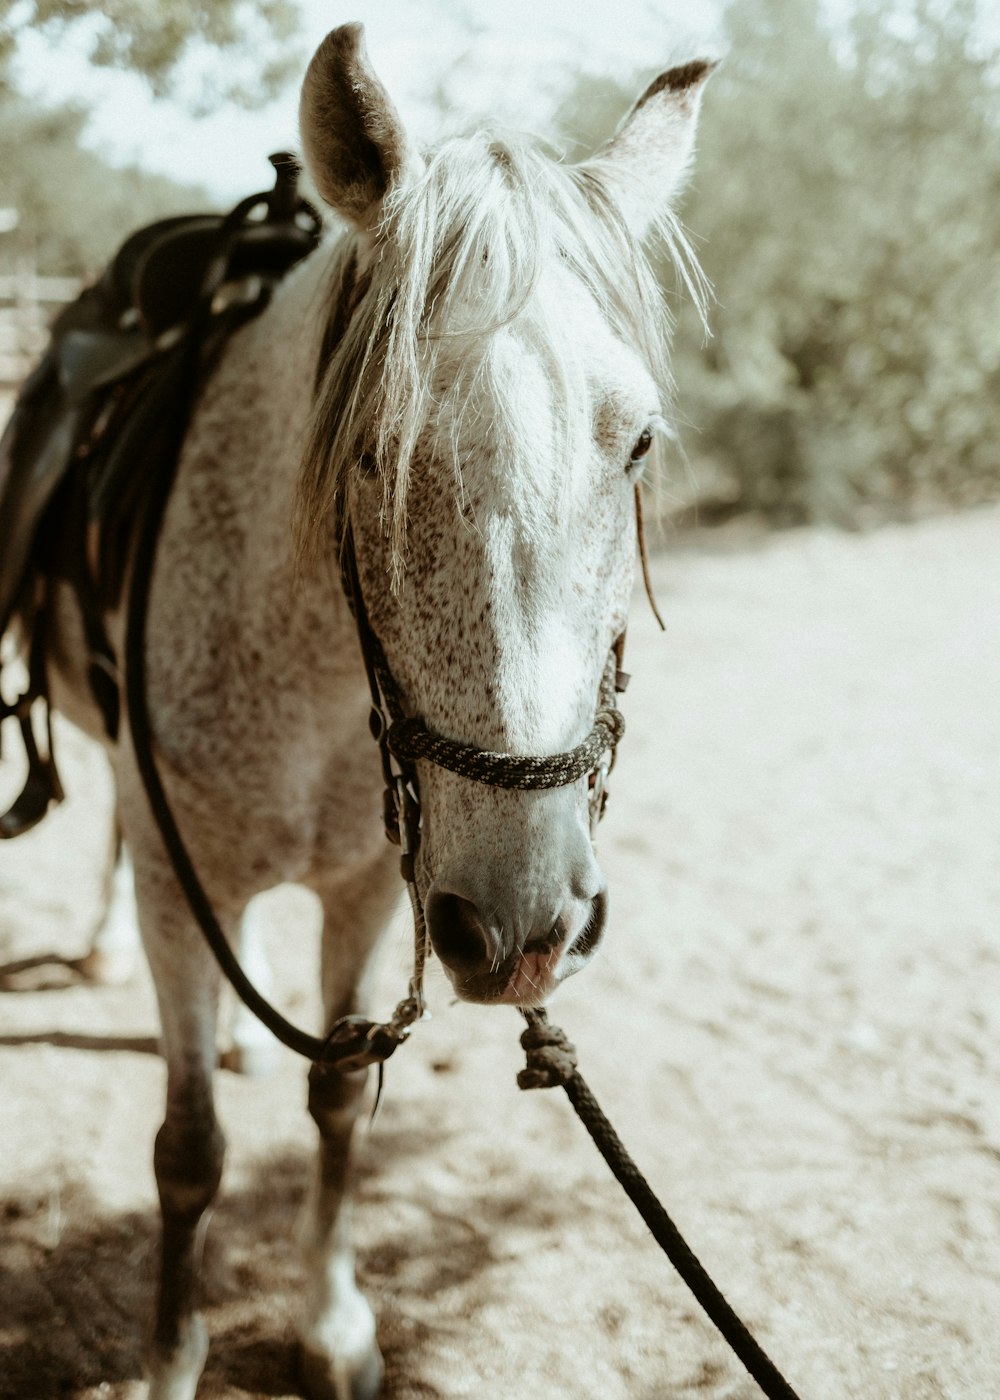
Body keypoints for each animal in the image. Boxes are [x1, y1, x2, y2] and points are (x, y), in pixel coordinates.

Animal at [40, 21, 708, 1400]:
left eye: (635, 445)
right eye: (371, 447)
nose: (526, 925)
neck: (304, 675)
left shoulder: (366, 888)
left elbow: (341, 1101)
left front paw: (334, 1320)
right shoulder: (184, 891)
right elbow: (188, 1150)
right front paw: (173, 1355)